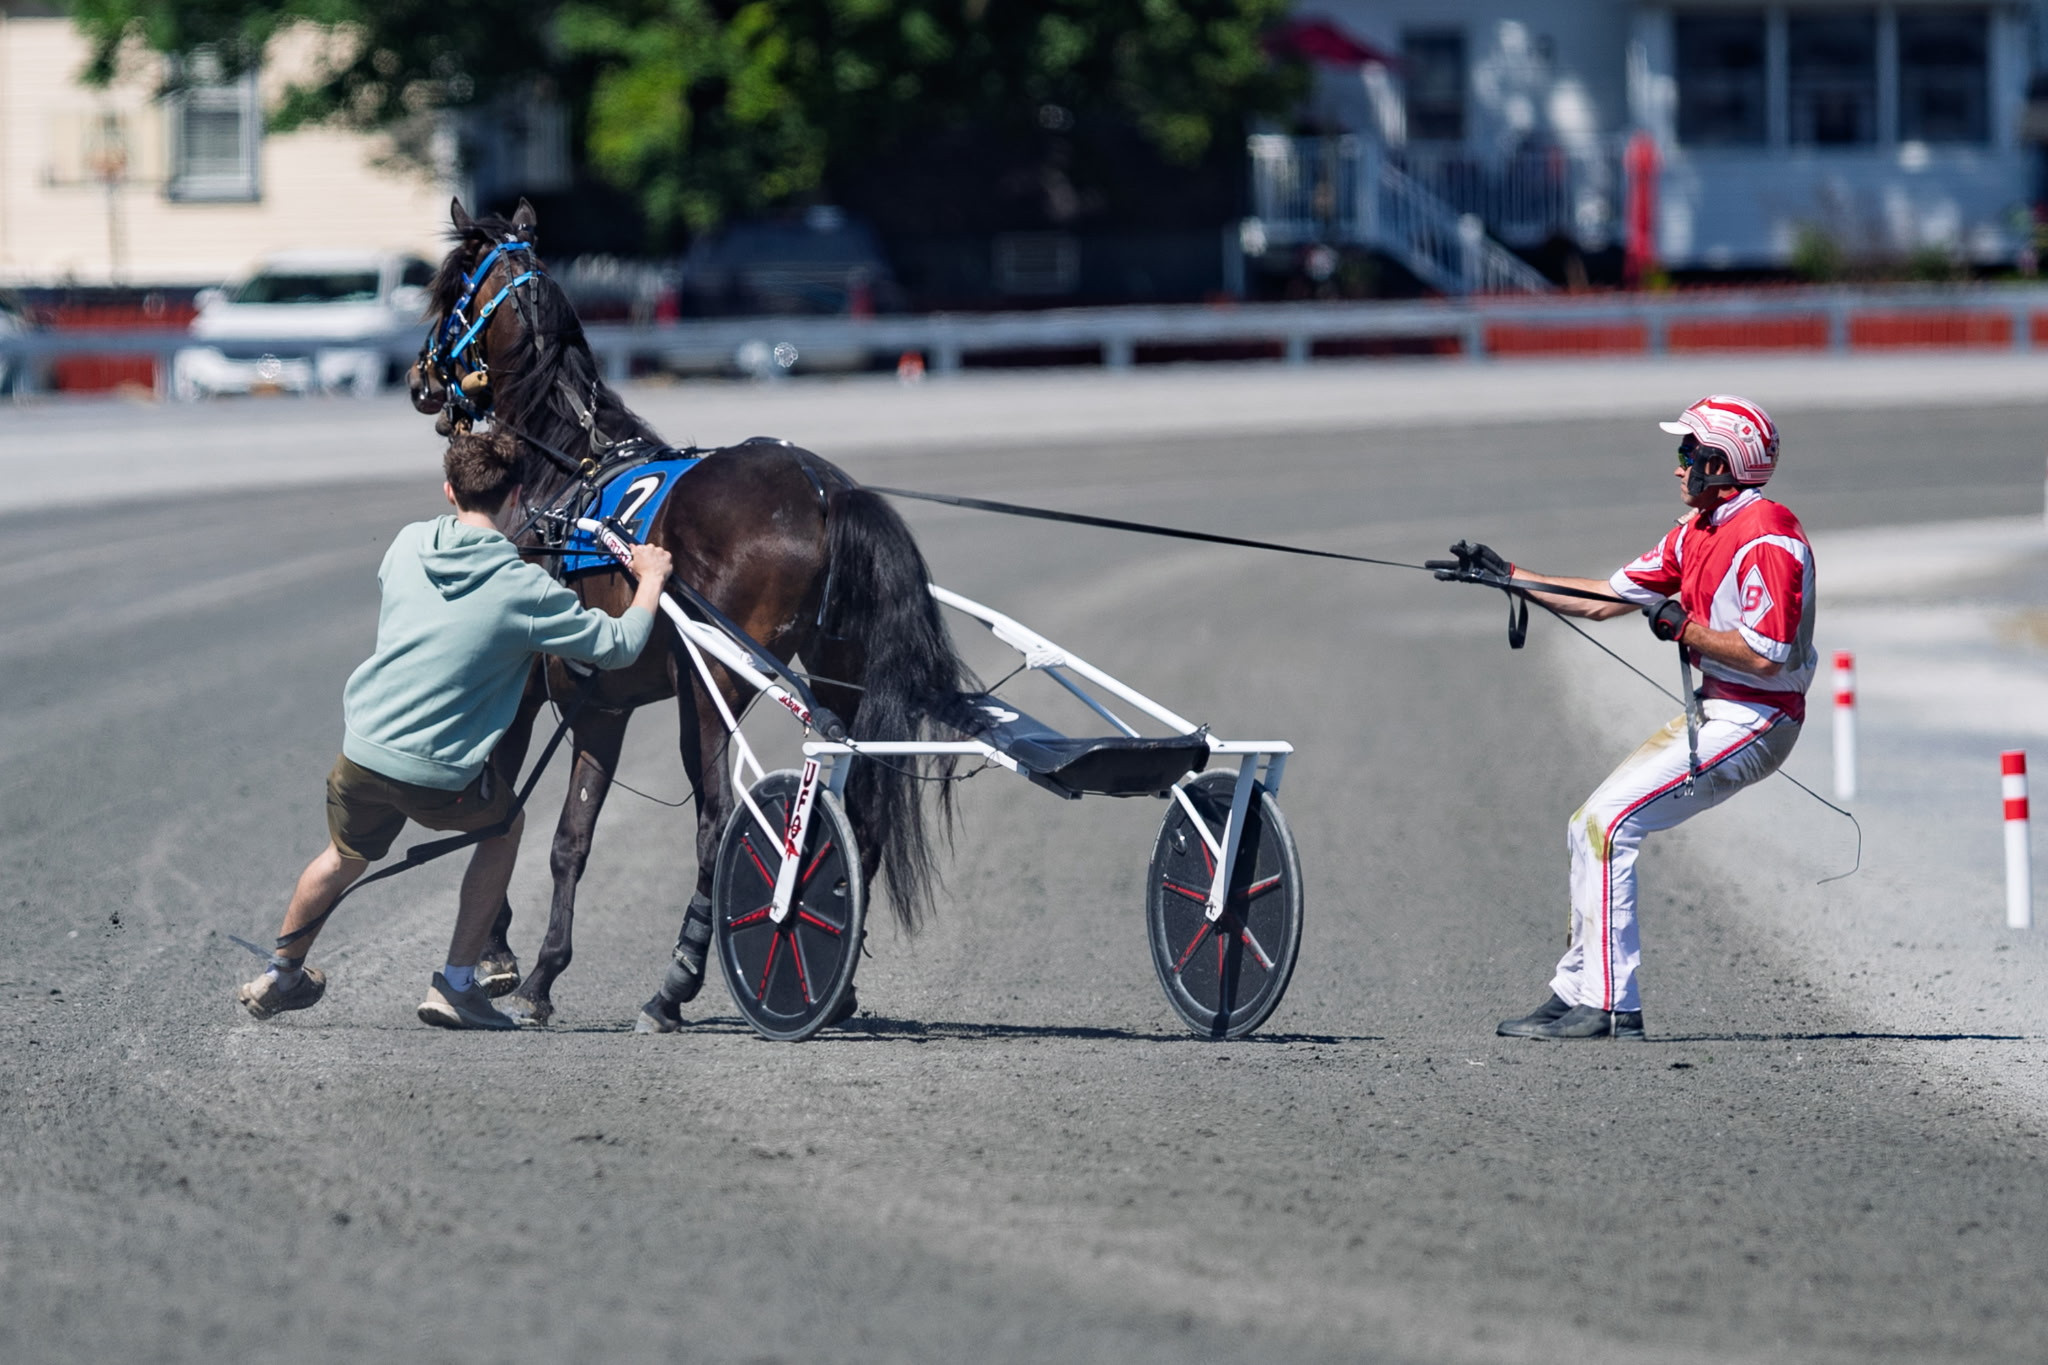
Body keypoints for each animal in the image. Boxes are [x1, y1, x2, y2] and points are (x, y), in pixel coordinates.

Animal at [406, 197, 967, 1028]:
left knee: (720, 821)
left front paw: (502, 957)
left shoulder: (530, 683)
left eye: (448, 291)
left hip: (712, 688)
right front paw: (541, 970)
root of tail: (824, 491)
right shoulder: (601, 701)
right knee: (856, 814)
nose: (419, 377)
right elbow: (570, 835)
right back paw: (831, 986)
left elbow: (500, 805)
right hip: (839, 672)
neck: (568, 475)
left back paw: (677, 982)